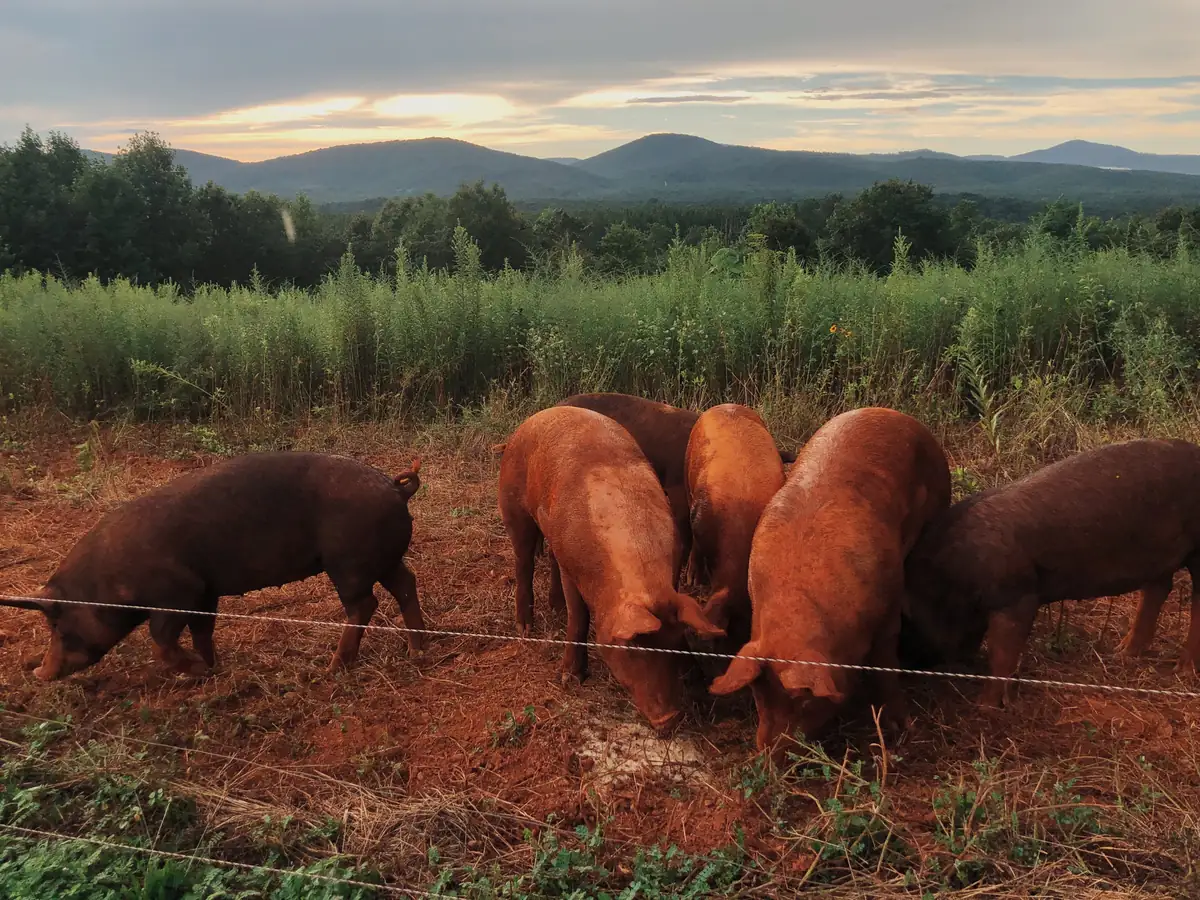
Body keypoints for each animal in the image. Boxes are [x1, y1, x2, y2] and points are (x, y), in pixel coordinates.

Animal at [0, 452, 425, 681]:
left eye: (57, 624)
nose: (39, 673)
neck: (108, 584)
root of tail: (394, 487)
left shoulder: (179, 591)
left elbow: (161, 638)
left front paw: (198, 672)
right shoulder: (205, 592)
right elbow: (202, 630)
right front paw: (212, 668)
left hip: (348, 561)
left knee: (363, 604)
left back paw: (332, 668)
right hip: (381, 558)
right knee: (405, 583)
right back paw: (415, 649)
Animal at [497, 405, 726, 732]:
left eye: (673, 643)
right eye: (632, 647)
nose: (670, 718)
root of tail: (541, 414)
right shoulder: (574, 570)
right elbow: (578, 617)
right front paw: (571, 679)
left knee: (550, 558)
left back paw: (554, 606)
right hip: (513, 503)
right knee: (523, 561)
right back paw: (525, 628)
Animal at [709, 407, 951, 758]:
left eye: (805, 702)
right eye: (758, 695)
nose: (768, 755)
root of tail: (895, 414)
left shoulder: (888, 608)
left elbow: (887, 666)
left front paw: (902, 728)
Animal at [903, 437, 1200, 708]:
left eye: (907, 626)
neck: (947, 577)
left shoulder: (1018, 595)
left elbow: (1001, 653)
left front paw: (985, 706)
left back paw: (1183, 671)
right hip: (1159, 555)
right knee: (1159, 588)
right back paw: (1123, 653)